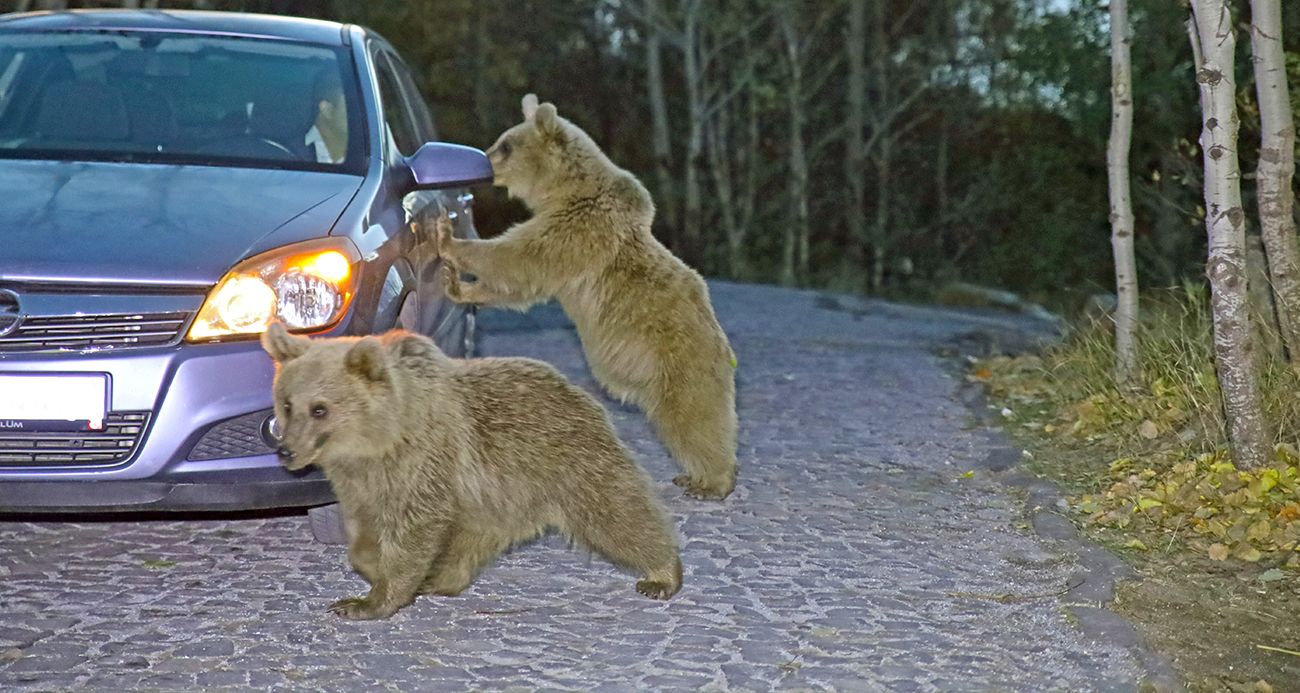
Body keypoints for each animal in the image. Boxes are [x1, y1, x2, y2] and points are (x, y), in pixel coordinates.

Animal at [254, 323, 681, 621]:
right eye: (287, 403)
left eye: (320, 408)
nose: (286, 451)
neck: (380, 440)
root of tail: (579, 391)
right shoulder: (362, 482)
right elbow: (364, 534)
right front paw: (377, 571)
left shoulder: (424, 463)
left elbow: (414, 530)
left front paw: (369, 600)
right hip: (495, 497)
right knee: (470, 541)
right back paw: (442, 578)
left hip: (565, 462)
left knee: (617, 514)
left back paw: (663, 573)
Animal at [439, 94, 738, 499]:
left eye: (506, 145)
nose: (482, 164)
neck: (562, 190)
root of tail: (724, 348)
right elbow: (519, 284)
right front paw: (458, 286)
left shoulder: (577, 230)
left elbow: (518, 258)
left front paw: (447, 239)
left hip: (680, 359)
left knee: (694, 417)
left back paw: (712, 481)